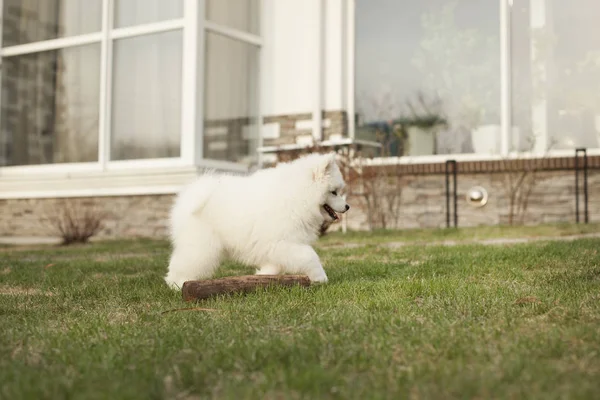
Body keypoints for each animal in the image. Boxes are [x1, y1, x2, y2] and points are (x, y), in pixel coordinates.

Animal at [164, 152, 352, 290]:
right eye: (334, 192)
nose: (347, 206)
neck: (299, 196)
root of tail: (190, 195)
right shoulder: (281, 242)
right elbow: (309, 256)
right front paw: (320, 277)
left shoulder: (275, 245)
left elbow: (275, 264)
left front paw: (263, 275)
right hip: (202, 246)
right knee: (182, 264)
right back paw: (178, 284)